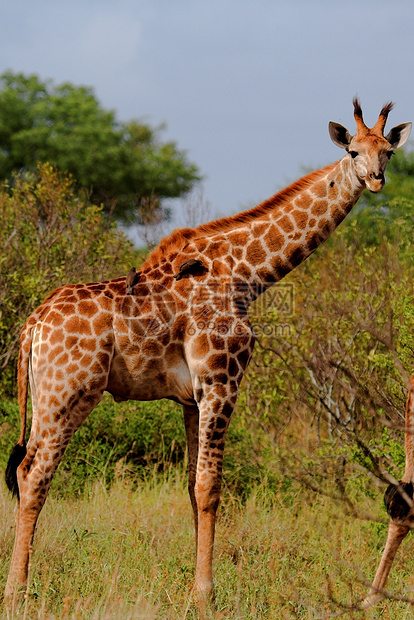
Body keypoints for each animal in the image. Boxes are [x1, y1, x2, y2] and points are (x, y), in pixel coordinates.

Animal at [4, 99, 410, 612]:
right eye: (354, 151)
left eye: (389, 153)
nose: (376, 179)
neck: (248, 274)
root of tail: (31, 327)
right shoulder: (222, 380)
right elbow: (211, 486)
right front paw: (205, 595)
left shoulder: (191, 397)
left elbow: (192, 488)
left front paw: (194, 588)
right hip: (70, 392)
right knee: (36, 474)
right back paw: (18, 591)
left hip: (43, 396)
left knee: (21, 470)